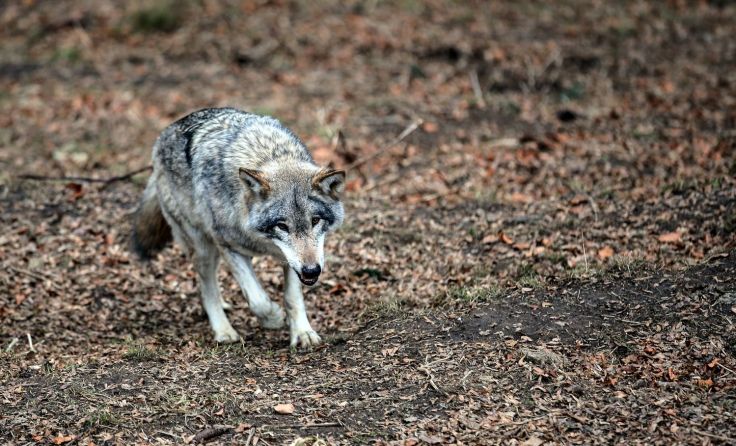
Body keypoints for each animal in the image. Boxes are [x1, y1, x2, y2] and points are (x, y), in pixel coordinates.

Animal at [131, 108, 345, 349]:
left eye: (315, 221)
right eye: (282, 226)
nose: (311, 271)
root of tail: (161, 138)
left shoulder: (290, 261)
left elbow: (292, 297)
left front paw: (302, 333)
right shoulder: (229, 247)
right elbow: (258, 300)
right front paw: (273, 318)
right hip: (203, 247)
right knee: (207, 287)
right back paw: (224, 331)